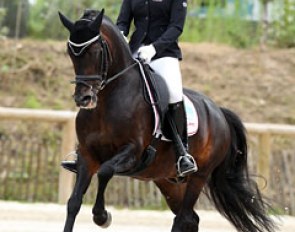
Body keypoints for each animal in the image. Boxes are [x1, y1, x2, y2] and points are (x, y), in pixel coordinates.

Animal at [59, 9, 276, 232]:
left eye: (96, 51)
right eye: (70, 52)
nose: (83, 98)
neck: (107, 102)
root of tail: (218, 112)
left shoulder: (132, 152)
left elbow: (105, 171)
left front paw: (102, 216)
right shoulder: (87, 156)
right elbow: (74, 203)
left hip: (198, 176)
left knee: (184, 217)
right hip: (167, 180)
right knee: (189, 219)